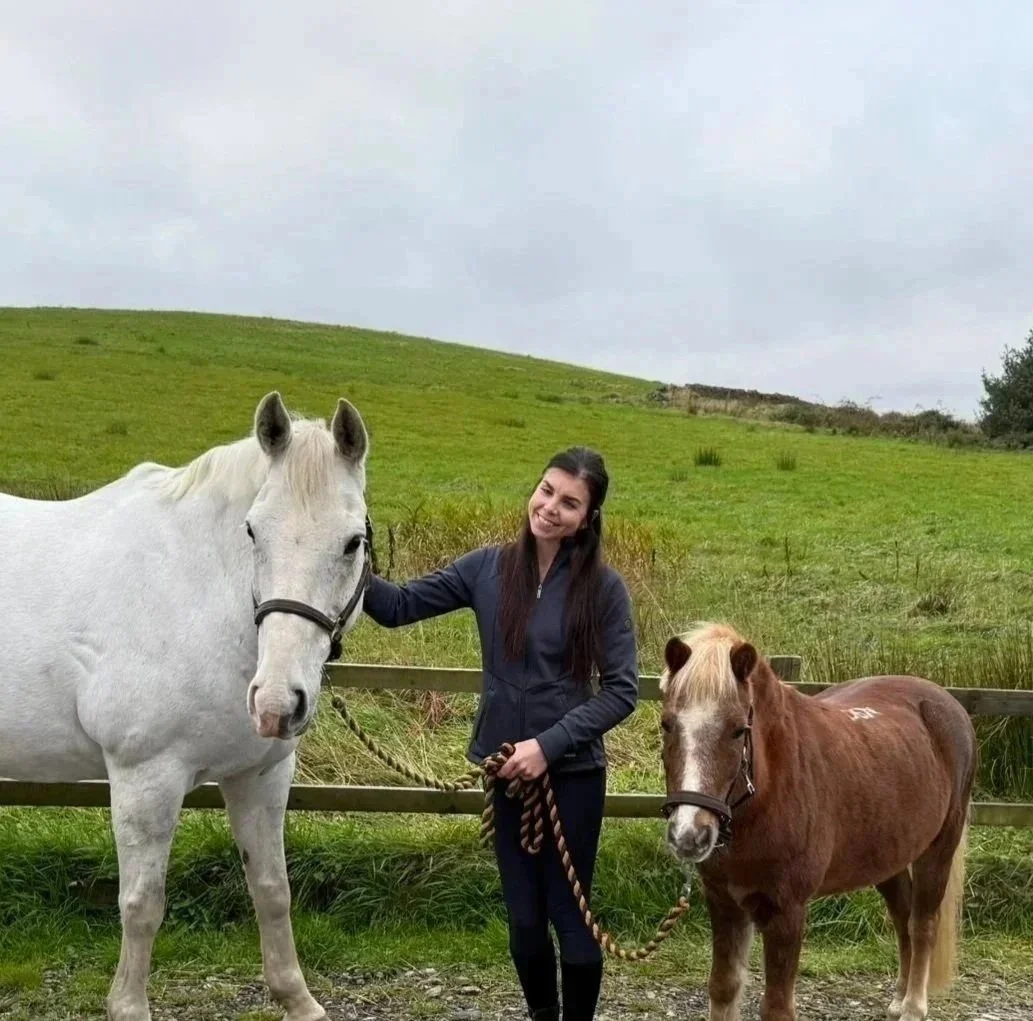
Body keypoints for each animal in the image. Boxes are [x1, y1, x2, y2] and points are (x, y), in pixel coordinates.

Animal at [0, 391, 372, 1021]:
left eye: (352, 542)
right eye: (253, 532)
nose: (277, 703)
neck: (196, 594)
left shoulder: (260, 776)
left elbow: (272, 891)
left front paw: (296, 999)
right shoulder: (145, 779)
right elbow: (142, 903)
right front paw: (128, 1006)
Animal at [659, 623, 976, 1021]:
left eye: (737, 730)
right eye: (667, 724)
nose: (690, 835)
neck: (768, 796)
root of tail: (947, 703)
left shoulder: (787, 913)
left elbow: (776, 1007)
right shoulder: (725, 903)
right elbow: (724, 987)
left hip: (939, 849)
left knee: (922, 924)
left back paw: (913, 1006)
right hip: (889, 858)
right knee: (903, 917)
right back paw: (899, 997)